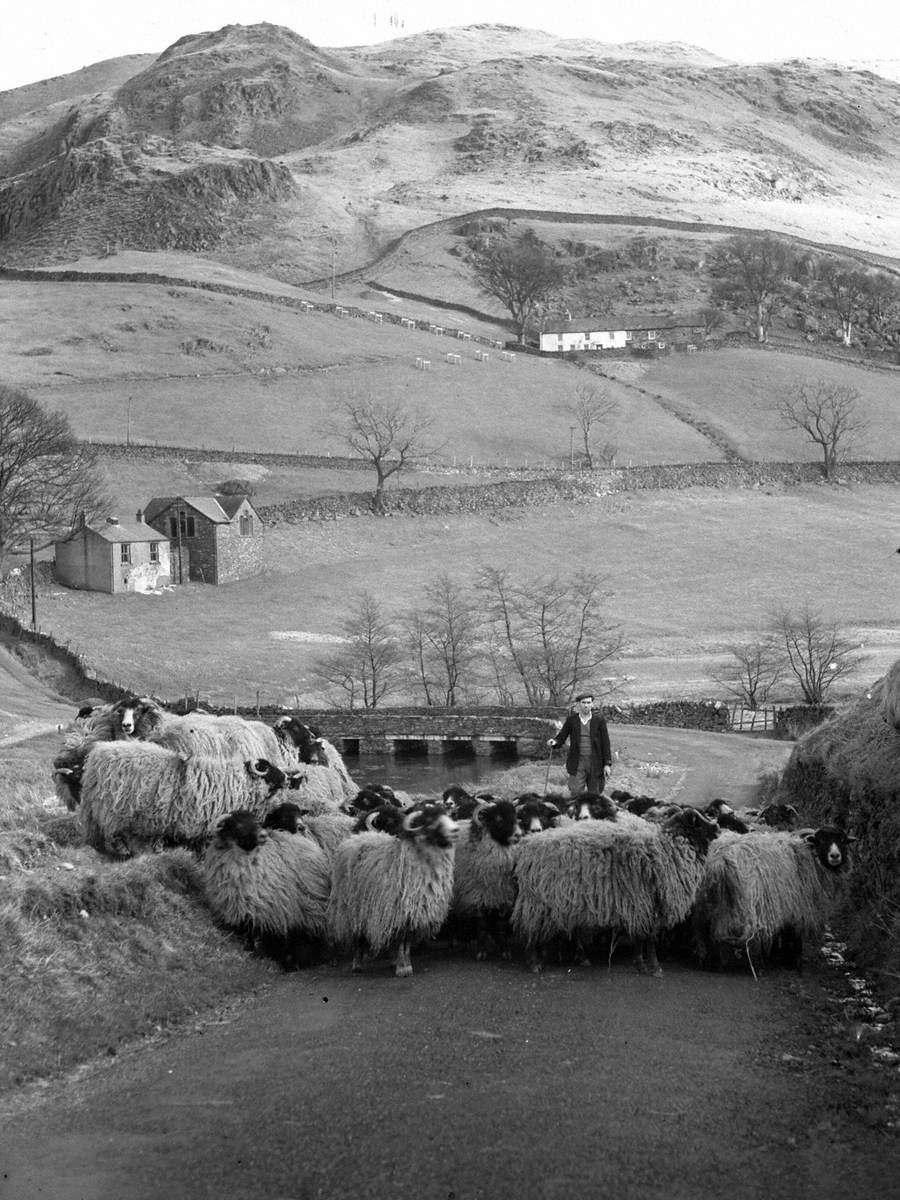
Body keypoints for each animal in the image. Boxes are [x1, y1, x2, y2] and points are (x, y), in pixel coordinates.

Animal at [202, 806, 333, 964]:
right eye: (238, 824)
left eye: (256, 822)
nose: (263, 835)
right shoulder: (242, 906)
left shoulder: (261, 908)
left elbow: (254, 931)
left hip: (309, 907)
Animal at [328, 801, 460, 979]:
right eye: (431, 822)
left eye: (446, 815)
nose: (455, 830)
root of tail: (358, 837)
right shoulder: (398, 912)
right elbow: (401, 940)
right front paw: (403, 968)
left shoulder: (413, 913)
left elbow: (407, 943)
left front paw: (403, 963)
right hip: (352, 907)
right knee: (357, 933)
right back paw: (357, 964)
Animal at [513, 806, 720, 974]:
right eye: (699, 822)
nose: (718, 828)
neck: (667, 847)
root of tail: (526, 845)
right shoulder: (646, 904)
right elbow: (649, 938)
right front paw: (654, 967)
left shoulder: (641, 905)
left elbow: (640, 938)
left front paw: (641, 964)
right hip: (538, 902)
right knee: (528, 931)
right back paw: (534, 963)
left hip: (565, 900)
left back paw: (574, 957)